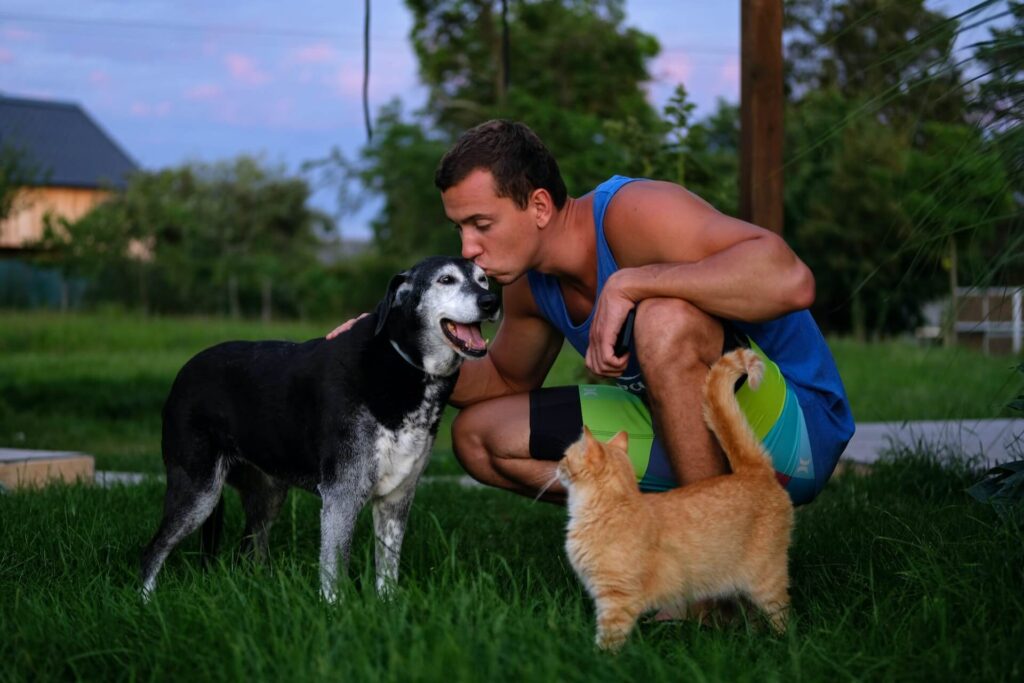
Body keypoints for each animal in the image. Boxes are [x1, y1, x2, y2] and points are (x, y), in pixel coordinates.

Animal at [141, 254, 499, 598]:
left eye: (483, 279)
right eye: (446, 279)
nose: (492, 301)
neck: (403, 364)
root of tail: (184, 372)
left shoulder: (397, 497)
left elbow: (387, 571)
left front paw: (389, 607)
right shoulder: (343, 493)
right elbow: (334, 571)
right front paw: (335, 610)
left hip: (267, 493)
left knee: (248, 549)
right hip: (198, 490)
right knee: (153, 550)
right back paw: (147, 601)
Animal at [561, 350, 790, 655]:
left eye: (565, 456)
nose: (557, 464)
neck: (612, 507)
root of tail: (752, 470)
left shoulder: (616, 599)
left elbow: (608, 640)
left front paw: (597, 658)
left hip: (766, 581)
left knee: (782, 615)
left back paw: (780, 645)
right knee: (752, 616)